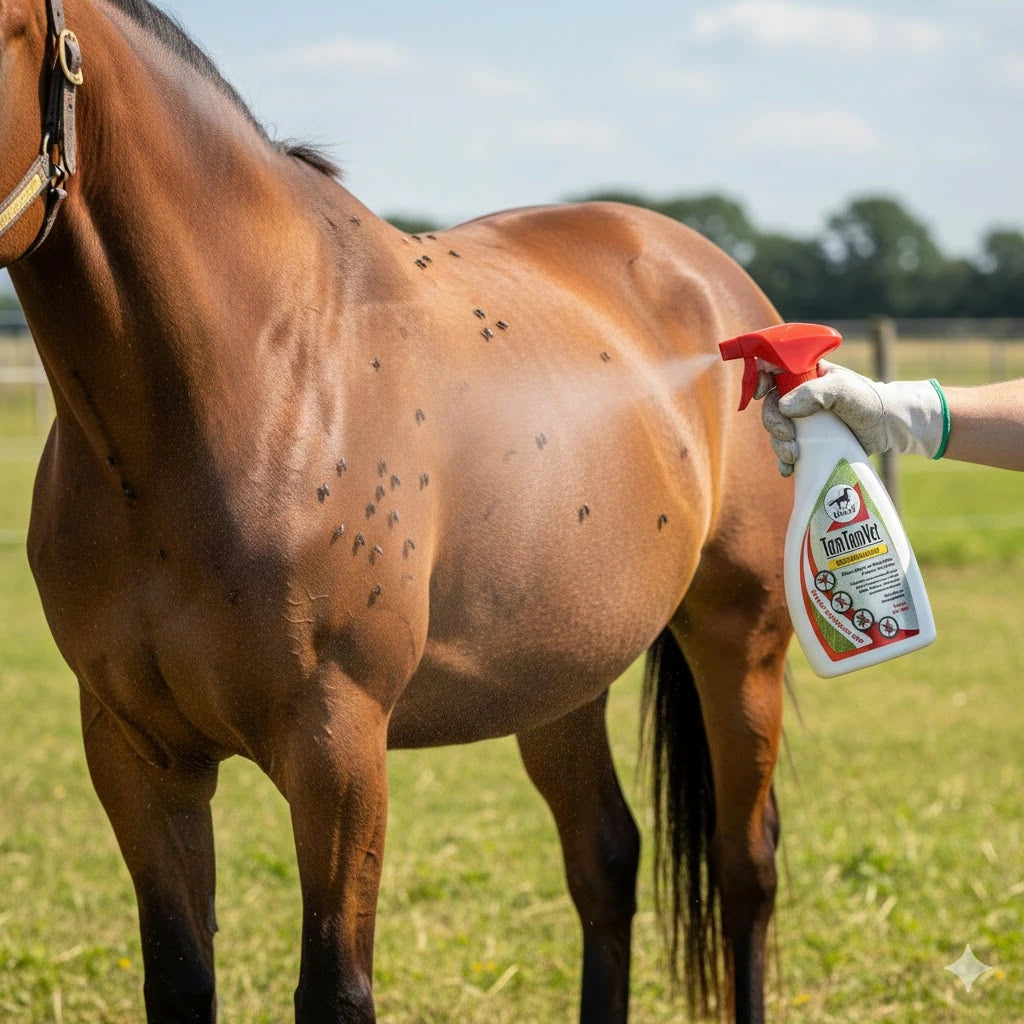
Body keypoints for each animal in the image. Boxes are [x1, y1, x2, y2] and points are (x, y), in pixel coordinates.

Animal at [1, 0, 795, 1020]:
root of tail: (706, 273)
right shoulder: (137, 753)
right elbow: (179, 981)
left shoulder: (338, 749)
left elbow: (336, 989)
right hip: (560, 676)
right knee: (606, 860)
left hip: (742, 640)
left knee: (745, 872)